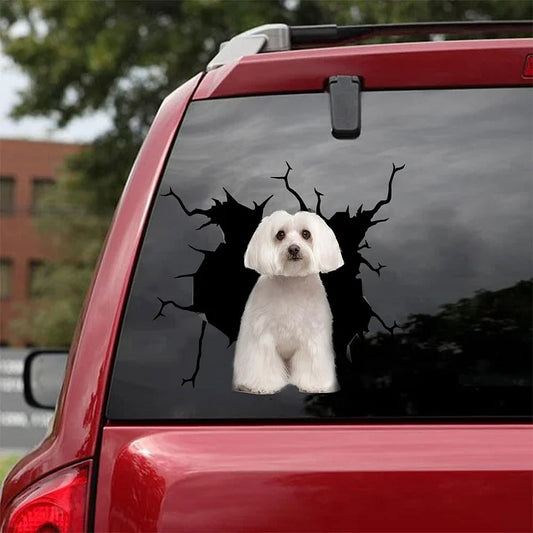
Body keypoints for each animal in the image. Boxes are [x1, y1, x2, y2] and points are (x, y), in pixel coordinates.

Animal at [234, 210, 344, 392]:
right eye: (280, 234)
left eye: (306, 234)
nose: (293, 248)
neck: (292, 281)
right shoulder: (263, 337)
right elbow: (263, 362)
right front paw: (261, 385)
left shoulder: (312, 339)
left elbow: (311, 363)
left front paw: (314, 385)